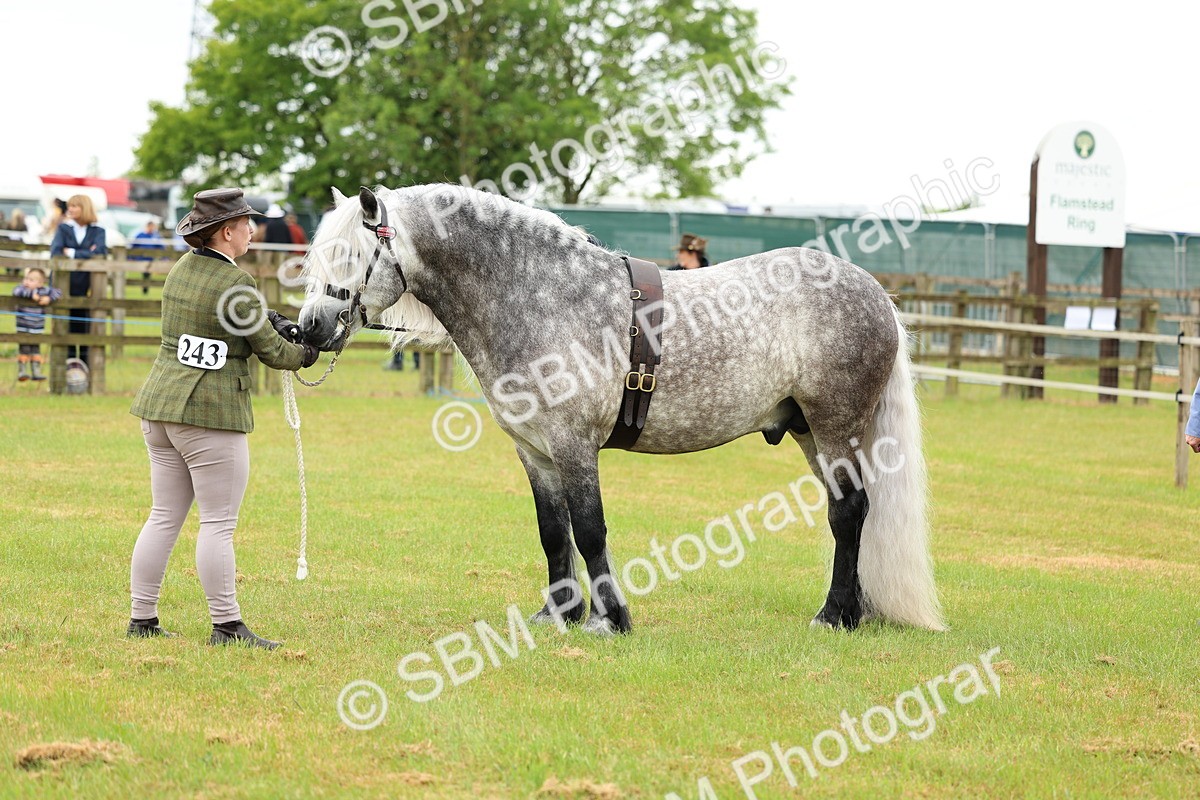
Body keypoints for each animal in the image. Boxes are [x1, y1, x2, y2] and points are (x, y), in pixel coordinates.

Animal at [297, 184, 944, 635]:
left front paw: (609, 619)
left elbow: (589, 529)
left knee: (849, 514)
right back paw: (854, 610)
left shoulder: (574, 445)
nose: (309, 329)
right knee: (850, 512)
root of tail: (874, 292)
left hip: (837, 427)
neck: (541, 294)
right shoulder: (535, 452)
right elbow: (553, 533)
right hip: (811, 432)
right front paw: (557, 614)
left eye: (350, 254)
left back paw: (834, 616)